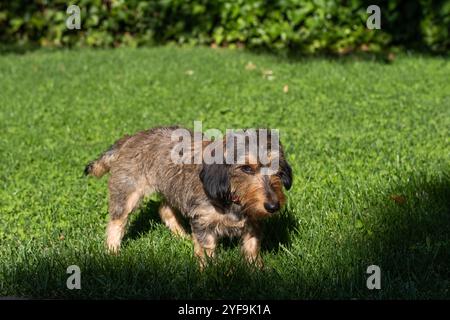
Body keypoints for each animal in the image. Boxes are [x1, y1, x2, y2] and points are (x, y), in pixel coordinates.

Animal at [85, 125, 294, 268]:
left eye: (276, 166)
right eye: (247, 168)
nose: (273, 206)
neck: (233, 199)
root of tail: (130, 138)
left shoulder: (253, 223)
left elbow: (252, 248)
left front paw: (257, 270)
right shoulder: (203, 223)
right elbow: (208, 251)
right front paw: (212, 272)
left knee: (164, 209)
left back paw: (183, 236)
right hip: (127, 193)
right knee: (116, 222)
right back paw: (113, 253)